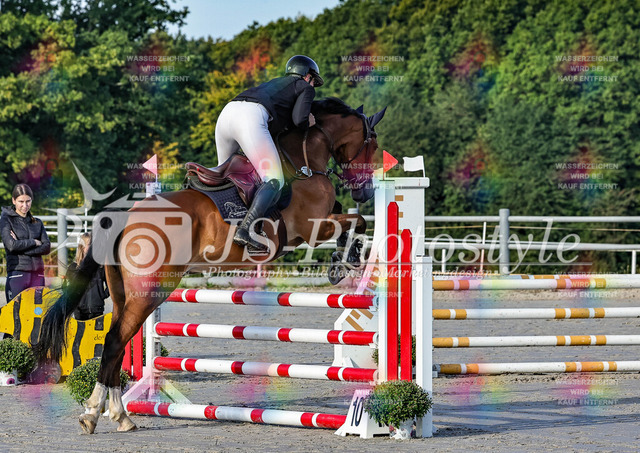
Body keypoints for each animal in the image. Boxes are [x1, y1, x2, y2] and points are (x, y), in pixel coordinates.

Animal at [34, 97, 386, 433]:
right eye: (372, 143)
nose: (365, 191)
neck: (304, 163)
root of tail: (125, 217)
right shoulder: (312, 228)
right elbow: (356, 220)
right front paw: (346, 259)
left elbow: (350, 217)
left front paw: (343, 259)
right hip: (149, 293)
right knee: (114, 342)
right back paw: (97, 414)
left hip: (125, 296)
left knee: (117, 346)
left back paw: (118, 416)